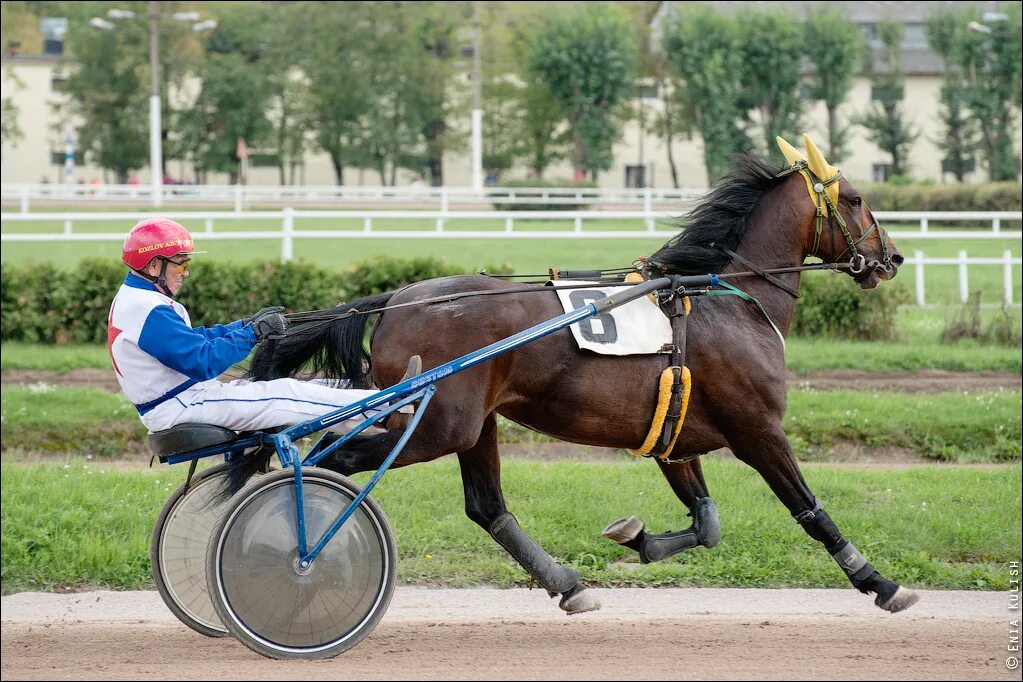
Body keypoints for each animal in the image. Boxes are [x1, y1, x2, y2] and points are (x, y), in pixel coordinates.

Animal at [235, 135, 916, 617]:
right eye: (856, 198)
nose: (892, 257)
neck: (728, 300)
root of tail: (397, 300)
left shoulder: (675, 437)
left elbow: (707, 524)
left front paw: (637, 538)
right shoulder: (758, 430)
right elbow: (810, 510)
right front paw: (880, 582)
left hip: (473, 425)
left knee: (487, 507)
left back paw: (566, 583)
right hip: (435, 425)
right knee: (331, 460)